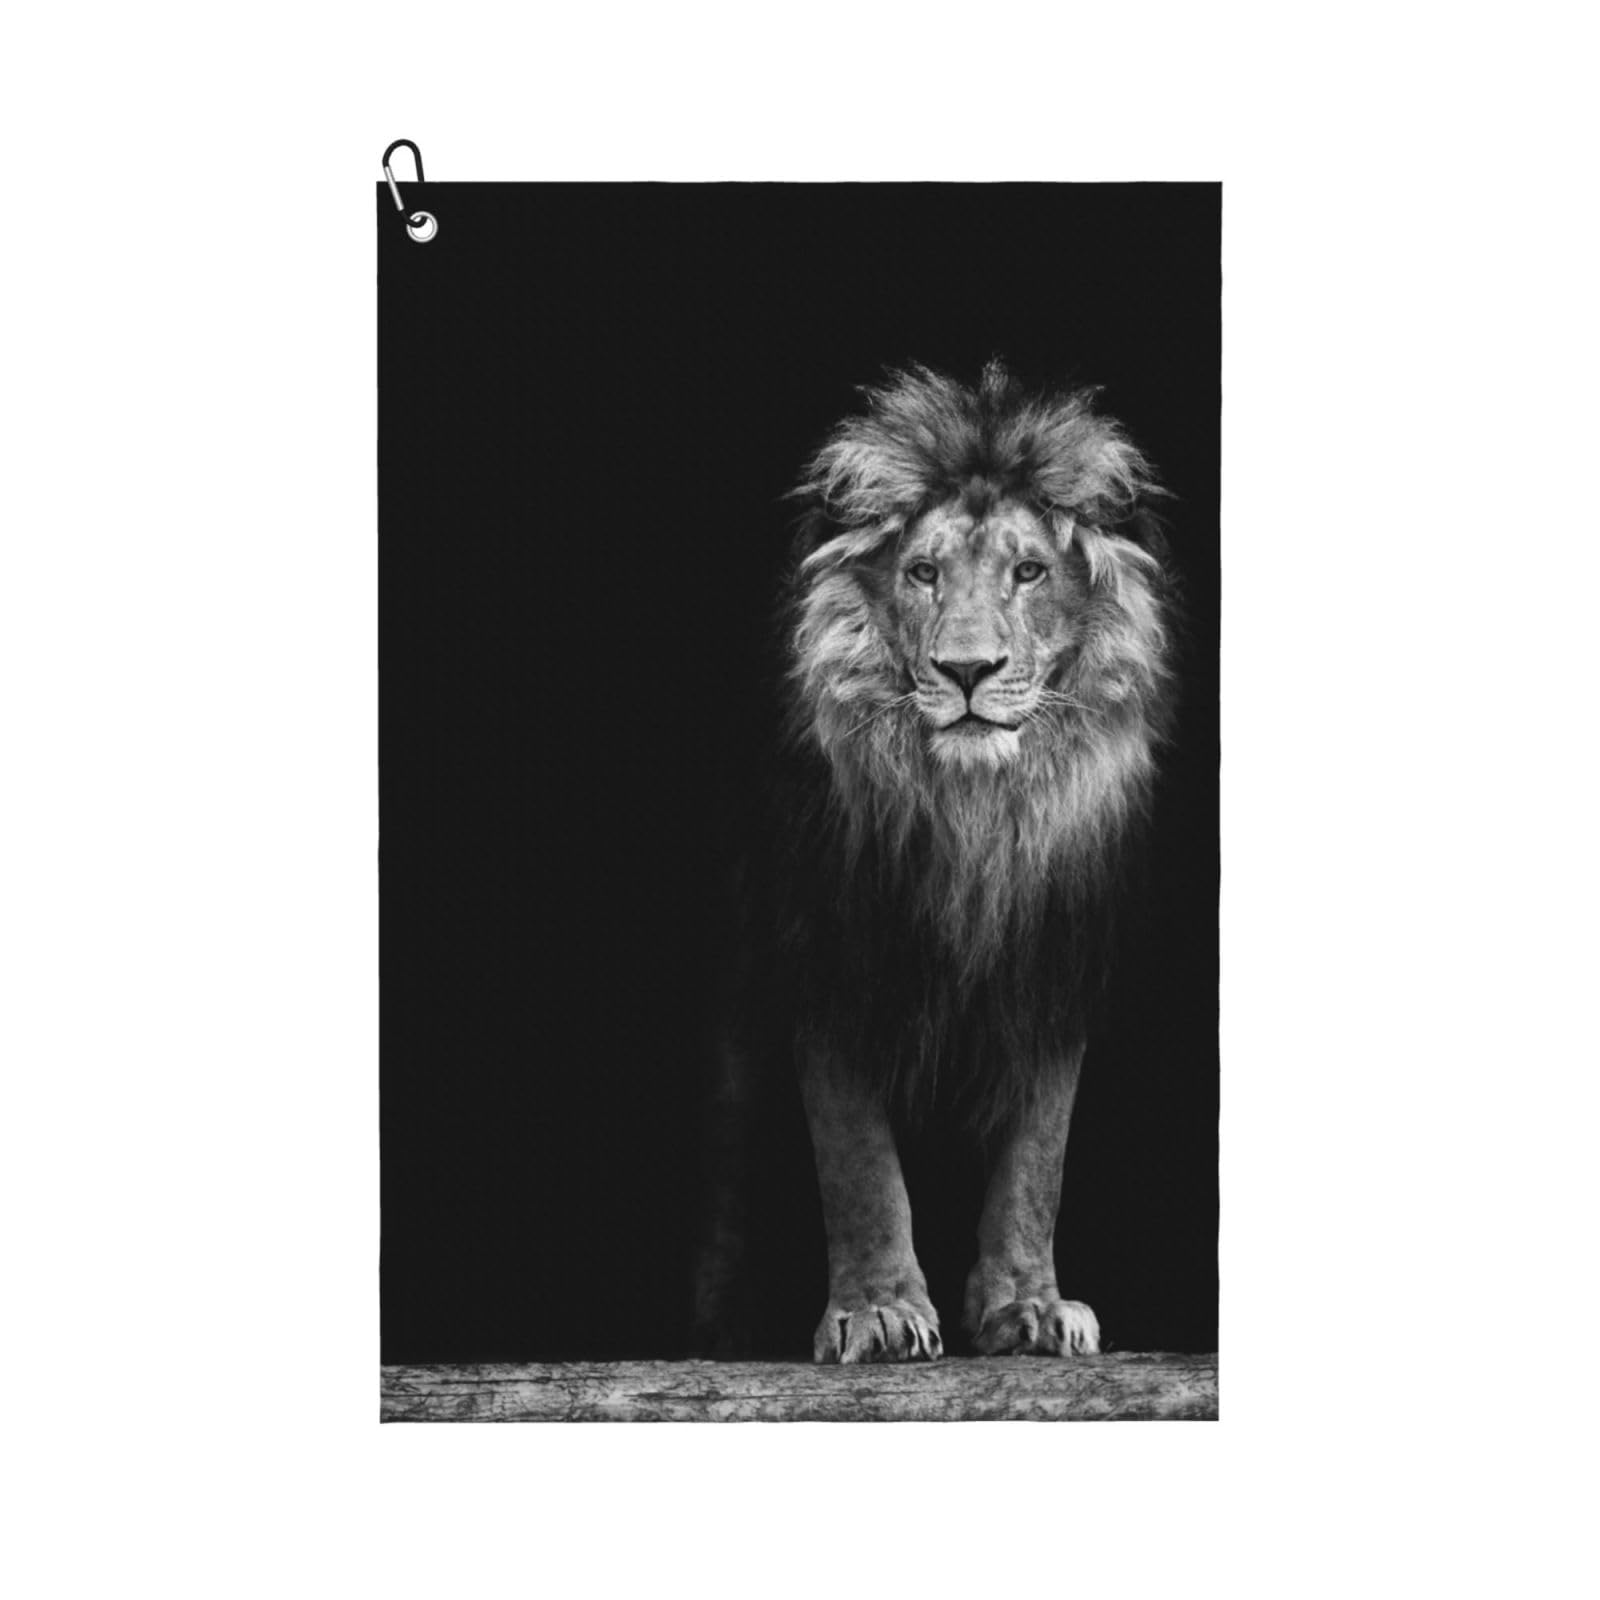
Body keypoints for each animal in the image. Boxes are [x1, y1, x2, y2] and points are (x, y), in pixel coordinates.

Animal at [697, 360, 1176, 1364]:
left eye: (1029, 572)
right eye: (922, 574)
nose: (966, 671)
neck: (973, 818)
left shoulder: (1051, 965)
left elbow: (1038, 1160)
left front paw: (1030, 1308)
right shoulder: (832, 955)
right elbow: (859, 1163)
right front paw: (878, 1311)